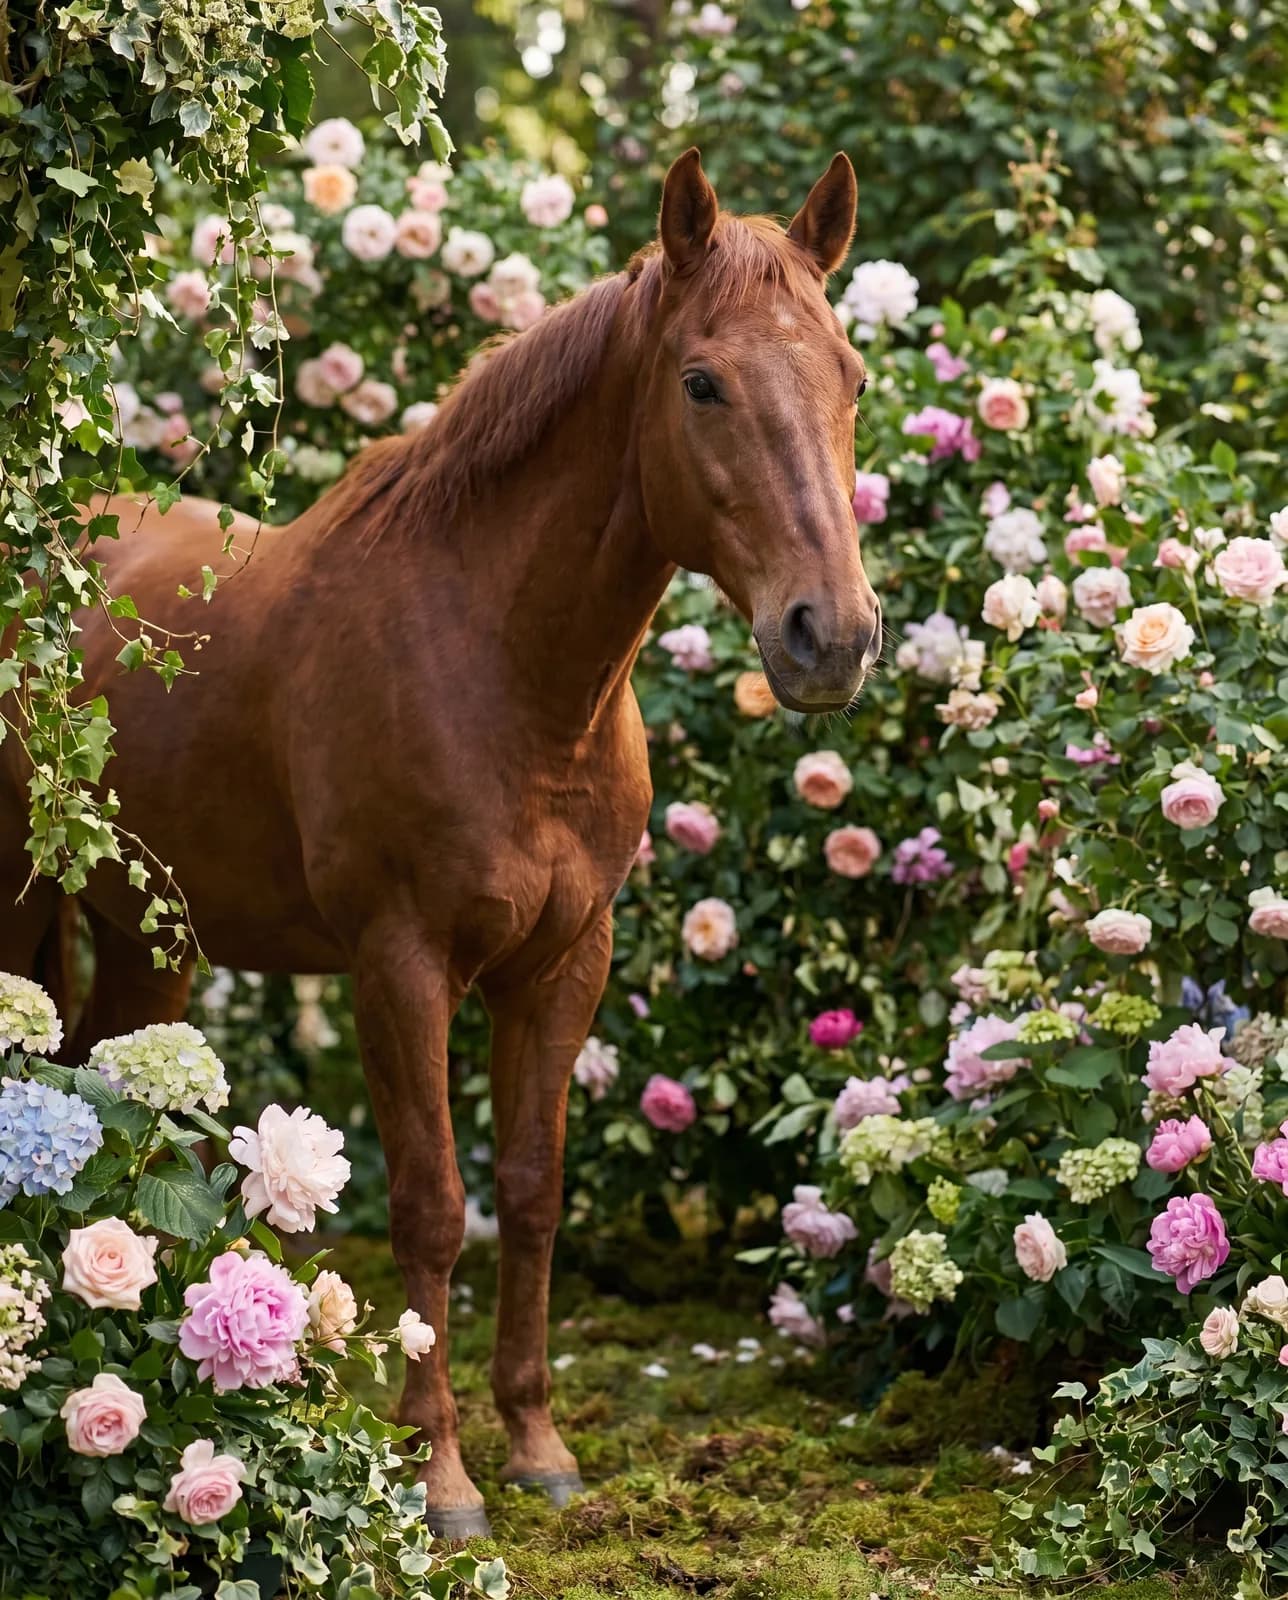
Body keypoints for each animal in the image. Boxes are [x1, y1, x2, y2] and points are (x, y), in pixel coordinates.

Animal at [0, 148, 880, 1534]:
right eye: (701, 382)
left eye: (847, 376)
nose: (828, 637)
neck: (504, 671)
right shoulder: (401, 963)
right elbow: (431, 1203)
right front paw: (440, 1473)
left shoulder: (565, 964)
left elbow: (528, 1191)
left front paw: (537, 1446)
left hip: (150, 944)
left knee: (100, 1077)